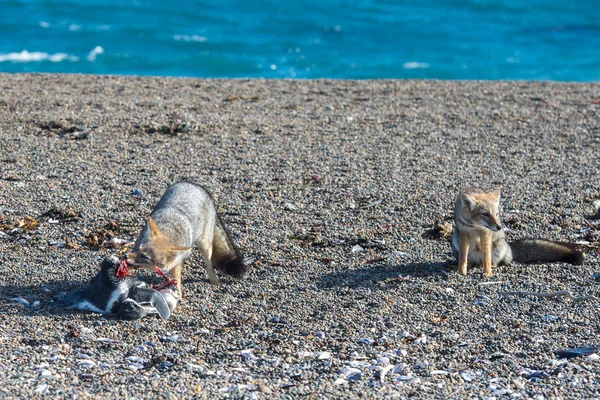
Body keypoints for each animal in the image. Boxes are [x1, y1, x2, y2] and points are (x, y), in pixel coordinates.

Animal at [452, 188, 584, 276]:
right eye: (485, 214)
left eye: (496, 214)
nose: (499, 227)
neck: (475, 226)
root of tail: (510, 247)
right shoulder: (464, 232)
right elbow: (463, 257)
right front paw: (461, 271)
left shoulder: (486, 233)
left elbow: (486, 257)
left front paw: (487, 273)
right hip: (455, 239)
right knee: (470, 260)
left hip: (497, 246)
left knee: (497, 262)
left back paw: (488, 265)